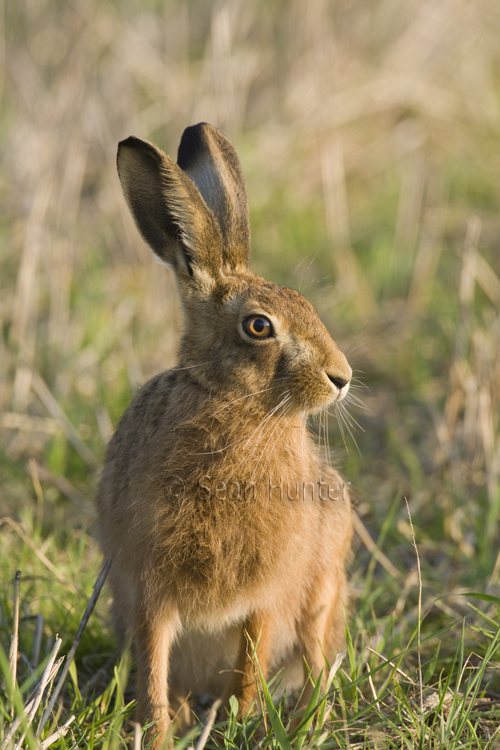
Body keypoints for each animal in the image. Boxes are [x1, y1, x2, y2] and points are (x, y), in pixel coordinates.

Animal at [97, 123, 353, 747]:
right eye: (259, 326)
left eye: (308, 305)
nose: (342, 378)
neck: (235, 407)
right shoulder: (149, 590)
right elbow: (154, 664)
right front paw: (158, 732)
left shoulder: (267, 593)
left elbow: (252, 658)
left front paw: (245, 718)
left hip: (322, 593)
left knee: (314, 657)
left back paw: (305, 721)